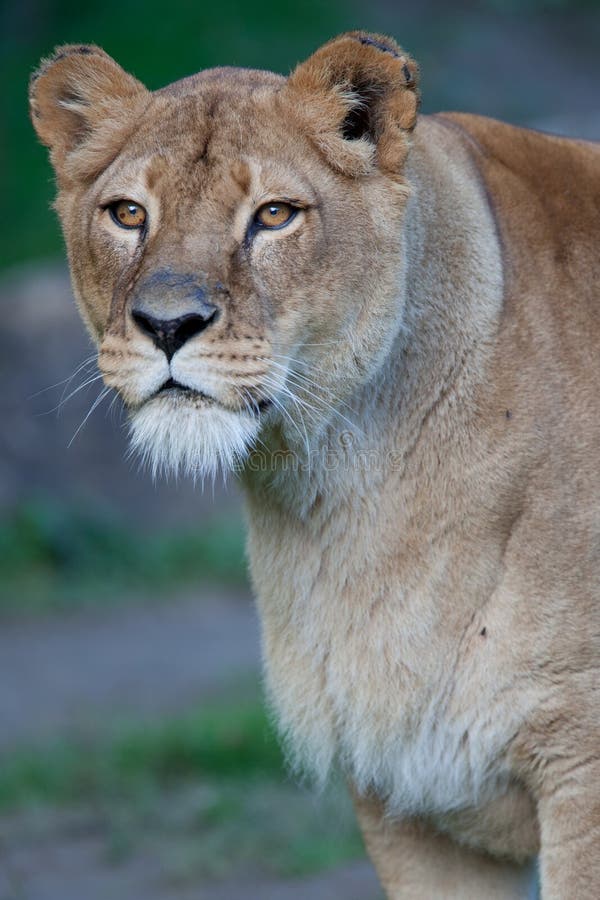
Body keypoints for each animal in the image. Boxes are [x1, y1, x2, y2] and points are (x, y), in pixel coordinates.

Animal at [29, 31, 600, 899]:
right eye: (129, 213)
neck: (337, 490)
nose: (167, 325)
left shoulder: (581, 774)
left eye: (274, 215)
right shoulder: (406, 798)